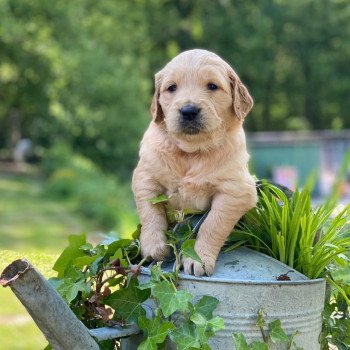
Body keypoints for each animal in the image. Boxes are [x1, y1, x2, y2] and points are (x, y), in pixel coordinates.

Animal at [132, 49, 258, 276]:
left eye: (212, 86)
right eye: (171, 88)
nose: (188, 111)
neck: (191, 152)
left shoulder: (236, 191)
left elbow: (213, 224)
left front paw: (199, 258)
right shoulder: (145, 176)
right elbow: (150, 212)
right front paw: (153, 246)